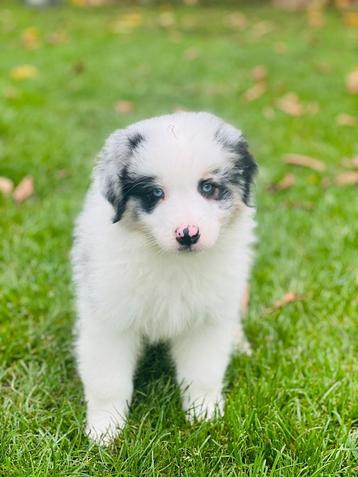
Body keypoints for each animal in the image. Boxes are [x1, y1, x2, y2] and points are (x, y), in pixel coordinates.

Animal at [72, 110, 258, 442]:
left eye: (207, 188)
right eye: (155, 193)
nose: (188, 234)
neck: (171, 262)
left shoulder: (206, 320)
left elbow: (202, 373)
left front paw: (205, 415)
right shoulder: (109, 320)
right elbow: (108, 380)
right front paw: (105, 429)